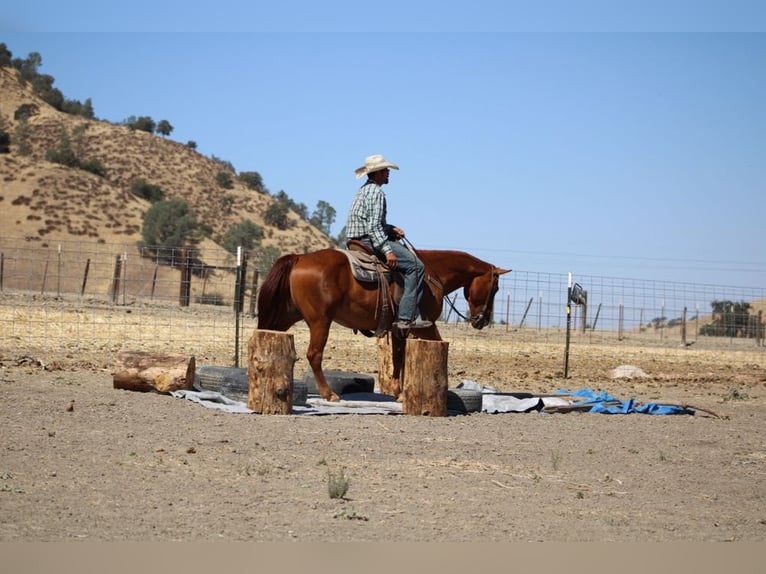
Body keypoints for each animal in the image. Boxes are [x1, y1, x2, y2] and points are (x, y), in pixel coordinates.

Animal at [256, 247, 510, 401]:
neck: (432, 274)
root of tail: (300, 257)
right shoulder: (426, 324)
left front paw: (399, 392)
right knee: (314, 354)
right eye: (495, 287)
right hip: (320, 321)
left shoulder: (400, 329)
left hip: (287, 315)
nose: (482, 320)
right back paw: (329, 394)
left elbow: (399, 358)